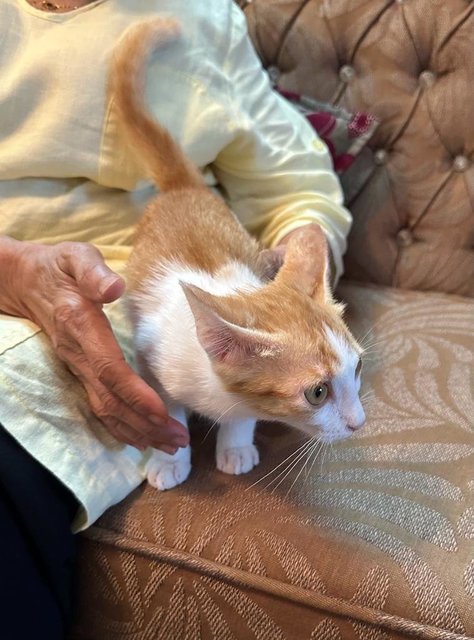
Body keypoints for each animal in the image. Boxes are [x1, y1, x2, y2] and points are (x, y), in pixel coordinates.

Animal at [111, 18, 366, 490]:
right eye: (317, 392)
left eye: (357, 368)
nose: (359, 423)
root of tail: (185, 188)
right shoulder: (150, 356)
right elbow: (168, 410)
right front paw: (171, 458)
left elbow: (243, 415)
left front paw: (235, 444)